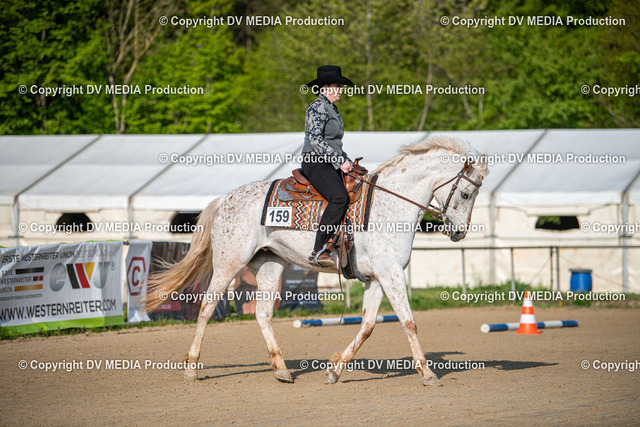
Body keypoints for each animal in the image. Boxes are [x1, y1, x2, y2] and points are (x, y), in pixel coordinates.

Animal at [144, 135, 489, 386]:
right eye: (466, 194)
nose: (459, 233)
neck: (389, 205)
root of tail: (225, 199)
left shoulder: (378, 278)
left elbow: (367, 326)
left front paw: (334, 371)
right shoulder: (391, 274)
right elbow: (408, 322)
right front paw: (428, 374)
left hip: (269, 266)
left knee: (263, 314)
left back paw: (281, 369)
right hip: (229, 263)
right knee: (206, 307)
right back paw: (191, 368)